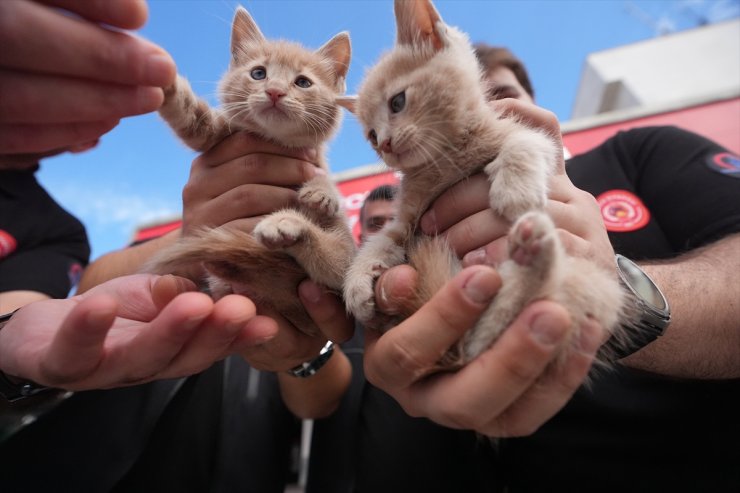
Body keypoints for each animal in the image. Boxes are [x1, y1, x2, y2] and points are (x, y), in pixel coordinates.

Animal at [147, 6, 356, 338]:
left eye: (302, 82)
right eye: (259, 73)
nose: (274, 92)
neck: (274, 139)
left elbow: (324, 178)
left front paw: (322, 192)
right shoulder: (215, 134)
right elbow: (192, 118)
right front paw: (167, 84)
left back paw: (283, 225)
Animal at [342, 0, 624, 368]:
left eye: (397, 102)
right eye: (372, 136)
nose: (386, 145)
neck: (443, 159)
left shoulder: (532, 135)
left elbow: (524, 142)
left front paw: (516, 193)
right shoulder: (405, 221)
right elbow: (380, 240)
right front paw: (357, 283)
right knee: (481, 341)